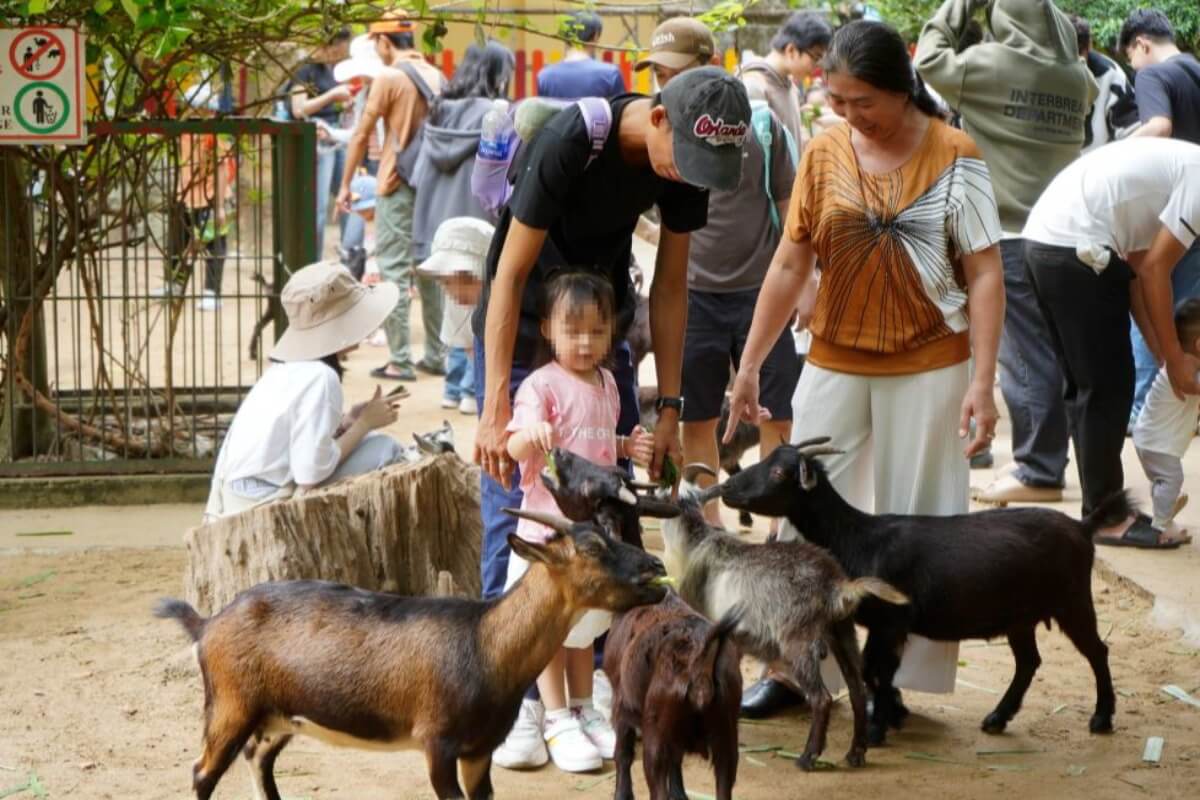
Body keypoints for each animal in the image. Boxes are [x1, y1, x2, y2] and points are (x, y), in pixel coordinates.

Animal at [152, 510, 667, 796]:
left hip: (278, 716)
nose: (655, 567)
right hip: (230, 706)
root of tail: (207, 624)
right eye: (593, 547)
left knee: (258, 761)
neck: (484, 645)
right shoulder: (437, 742)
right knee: (202, 772)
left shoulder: (479, 750)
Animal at [609, 592, 739, 800]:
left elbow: (623, 753)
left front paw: (622, 794)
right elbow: (676, 761)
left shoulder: (621, 706)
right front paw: (679, 794)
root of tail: (700, 656)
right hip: (726, 740)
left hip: (655, 744)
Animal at [720, 438, 1123, 743]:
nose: (725, 488)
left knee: (1097, 651)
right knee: (1029, 661)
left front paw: (876, 730)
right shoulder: (886, 627)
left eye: (778, 472)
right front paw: (887, 719)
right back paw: (997, 718)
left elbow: (877, 672)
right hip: (1020, 616)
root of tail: (1083, 527)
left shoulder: (891, 621)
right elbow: (874, 673)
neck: (859, 539)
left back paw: (1102, 719)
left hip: (1072, 601)